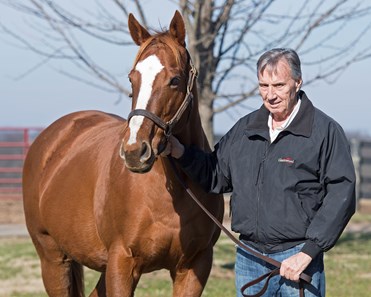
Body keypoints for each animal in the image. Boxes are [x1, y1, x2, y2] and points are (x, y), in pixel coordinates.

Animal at [24, 9, 227, 296]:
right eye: (132, 79)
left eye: (175, 80)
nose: (134, 151)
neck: (172, 192)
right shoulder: (122, 263)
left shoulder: (194, 266)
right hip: (53, 259)